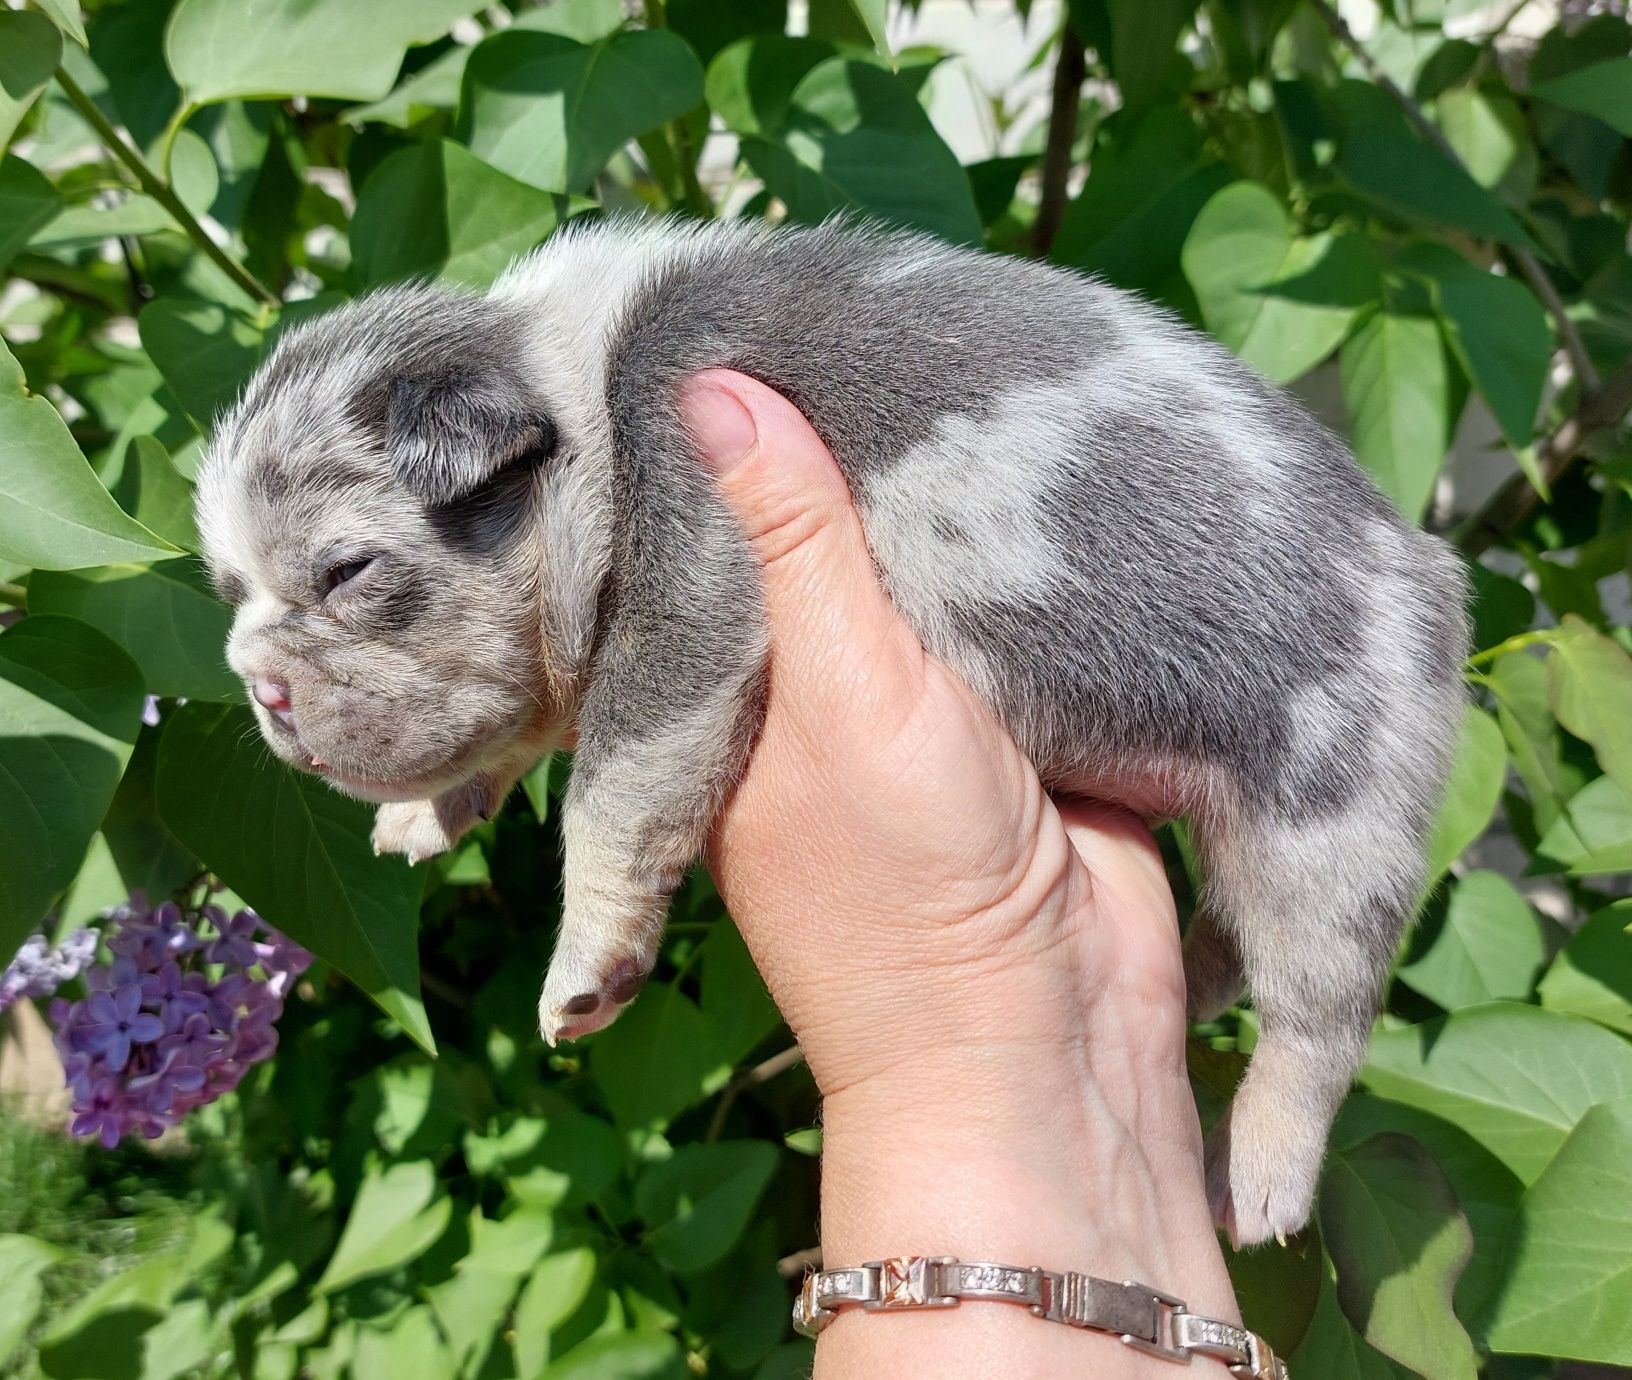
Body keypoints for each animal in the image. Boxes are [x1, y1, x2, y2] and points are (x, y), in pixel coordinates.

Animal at [197, 218, 1475, 1252]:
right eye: (225, 592)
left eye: (348, 570)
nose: (256, 685)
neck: (585, 401)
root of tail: (1437, 580)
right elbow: (512, 735)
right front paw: (421, 818)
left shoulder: (688, 601)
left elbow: (613, 787)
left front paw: (580, 985)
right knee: (1232, 943)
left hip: (1336, 822)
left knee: (1319, 1018)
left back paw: (1255, 1187)